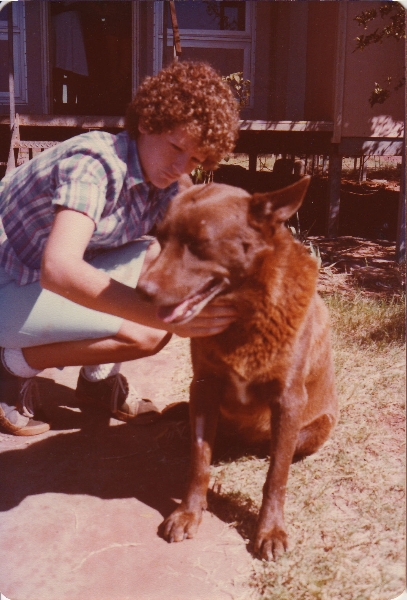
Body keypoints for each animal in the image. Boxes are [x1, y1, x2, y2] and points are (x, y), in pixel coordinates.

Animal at [137, 176, 338, 560]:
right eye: (160, 238)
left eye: (200, 244)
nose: (142, 291)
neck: (245, 317)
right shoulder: (203, 386)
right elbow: (199, 461)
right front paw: (189, 512)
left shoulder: (288, 400)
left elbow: (276, 478)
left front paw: (270, 530)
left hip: (314, 429)